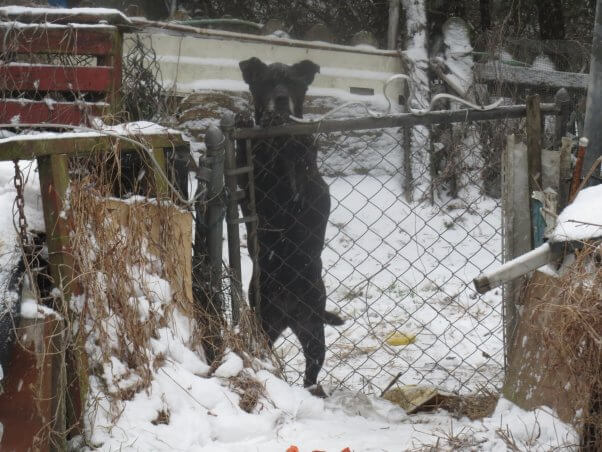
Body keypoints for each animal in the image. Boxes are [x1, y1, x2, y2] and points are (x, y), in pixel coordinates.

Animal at [237, 55, 344, 388]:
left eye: (294, 83)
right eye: (266, 82)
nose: (281, 99)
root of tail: (287, 315)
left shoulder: (306, 184)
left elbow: (300, 158)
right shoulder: (251, 186)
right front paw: (242, 121)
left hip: (312, 329)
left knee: (312, 368)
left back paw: (312, 390)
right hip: (264, 323)